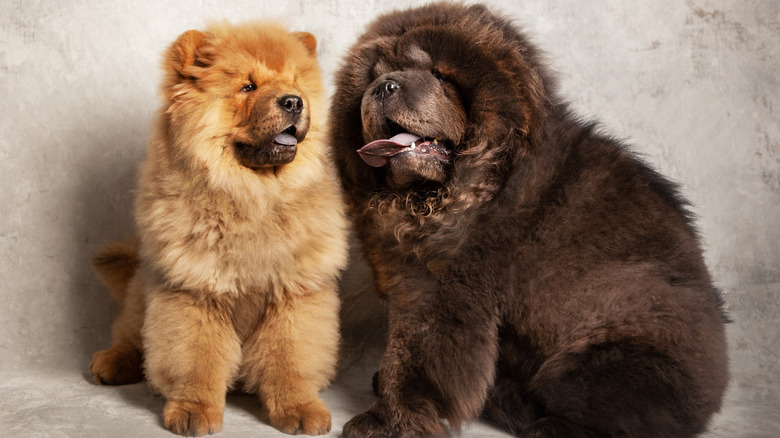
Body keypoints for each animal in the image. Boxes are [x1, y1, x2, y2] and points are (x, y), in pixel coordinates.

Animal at [89, 22, 348, 436]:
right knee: (131, 336)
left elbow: (290, 359)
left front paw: (300, 408)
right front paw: (193, 410)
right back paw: (110, 363)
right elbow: (196, 360)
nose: (294, 101)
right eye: (248, 87)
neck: (254, 196)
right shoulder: (195, 291)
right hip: (143, 293)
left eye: (294, 83)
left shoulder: (295, 295)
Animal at [330, 3, 732, 438]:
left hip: (593, 361)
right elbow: (400, 353)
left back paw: (539, 421)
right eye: (375, 75)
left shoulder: (441, 291)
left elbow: (411, 358)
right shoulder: (410, 279)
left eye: (438, 75)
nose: (383, 86)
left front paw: (388, 420)